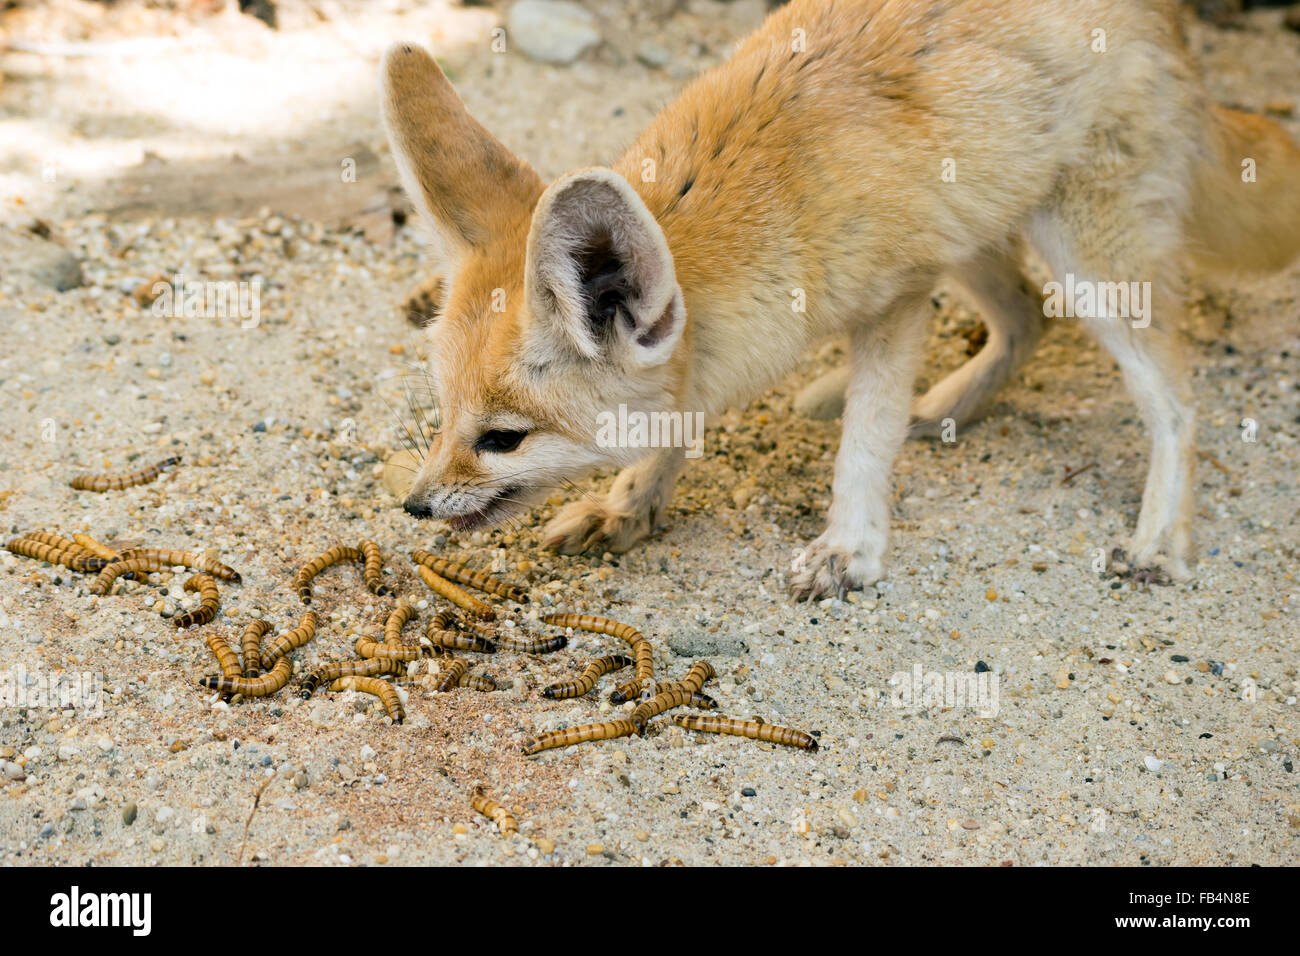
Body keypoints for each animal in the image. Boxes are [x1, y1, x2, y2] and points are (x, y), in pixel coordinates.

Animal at [384, 0, 1300, 598]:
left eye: (502, 439)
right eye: (443, 414)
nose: (415, 505)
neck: (767, 203)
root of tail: (1170, 20)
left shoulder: (895, 299)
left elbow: (864, 441)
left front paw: (850, 547)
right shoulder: (741, 339)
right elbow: (678, 419)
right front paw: (629, 503)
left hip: (1084, 258)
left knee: (1175, 401)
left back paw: (1159, 540)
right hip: (974, 231)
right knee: (1027, 319)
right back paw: (945, 408)